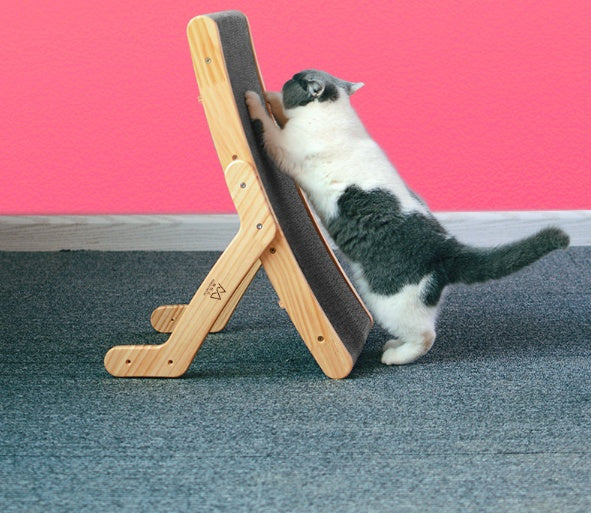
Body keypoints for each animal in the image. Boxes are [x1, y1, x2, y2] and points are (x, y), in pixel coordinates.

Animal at [244, 70, 568, 364]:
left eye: (293, 79)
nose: (287, 78)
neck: (334, 114)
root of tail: (445, 247)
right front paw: (270, 96)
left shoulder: (286, 150)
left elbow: (268, 128)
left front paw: (253, 98)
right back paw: (394, 345)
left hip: (389, 299)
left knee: (425, 336)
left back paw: (395, 356)